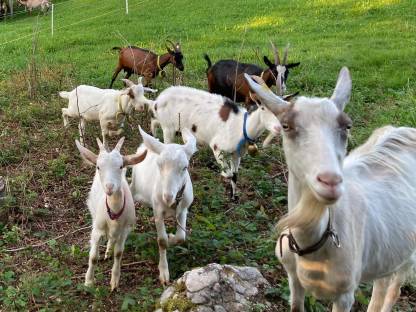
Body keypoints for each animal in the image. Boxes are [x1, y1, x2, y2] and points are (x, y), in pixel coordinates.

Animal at [75, 136, 147, 290]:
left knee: (112, 239)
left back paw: (108, 250)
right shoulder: (97, 230)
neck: (114, 212)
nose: (109, 187)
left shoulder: (125, 230)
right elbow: (93, 257)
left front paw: (114, 282)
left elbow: (118, 254)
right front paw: (88, 281)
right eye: (98, 167)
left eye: (120, 166)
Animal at [131, 127, 197, 286]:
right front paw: (164, 272)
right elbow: (162, 241)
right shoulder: (158, 211)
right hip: (134, 185)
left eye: (185, 167)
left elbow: (181, 237)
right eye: (159, 165)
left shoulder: (183, 209)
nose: (167, 196)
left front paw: (172, 236)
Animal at [244, 70, 416, 312]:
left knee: (394, 290)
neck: (312, 246)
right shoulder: (293, 278)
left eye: (347, 126)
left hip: (408, 254)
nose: (330, 181)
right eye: (286, 126)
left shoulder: (344, 294)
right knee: (381, 284)